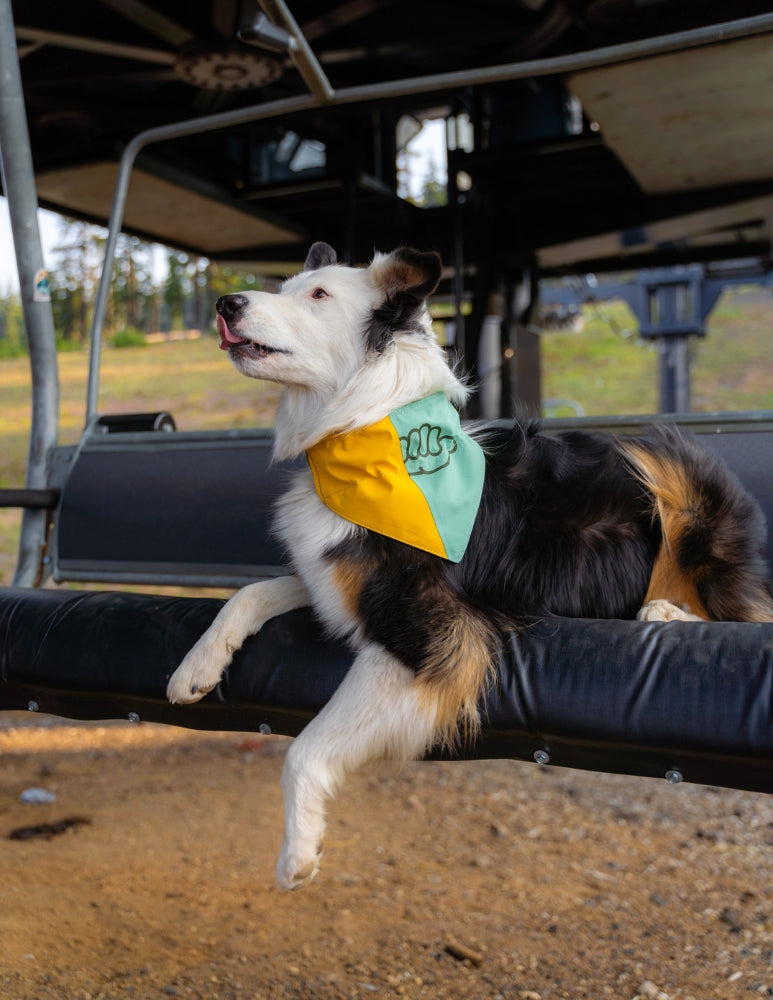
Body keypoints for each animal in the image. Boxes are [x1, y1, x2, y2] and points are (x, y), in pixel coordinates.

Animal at [166, 242, 772, 892]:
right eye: (286, 287)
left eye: (319, 295)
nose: (226, 303)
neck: (365, 429)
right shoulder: (333, 582)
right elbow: (251, 592)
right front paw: (194, 668)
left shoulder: (442, 636)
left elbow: (306, 747)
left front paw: (297, 853)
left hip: (668, 469)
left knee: (750, 615)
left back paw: (664, 610)